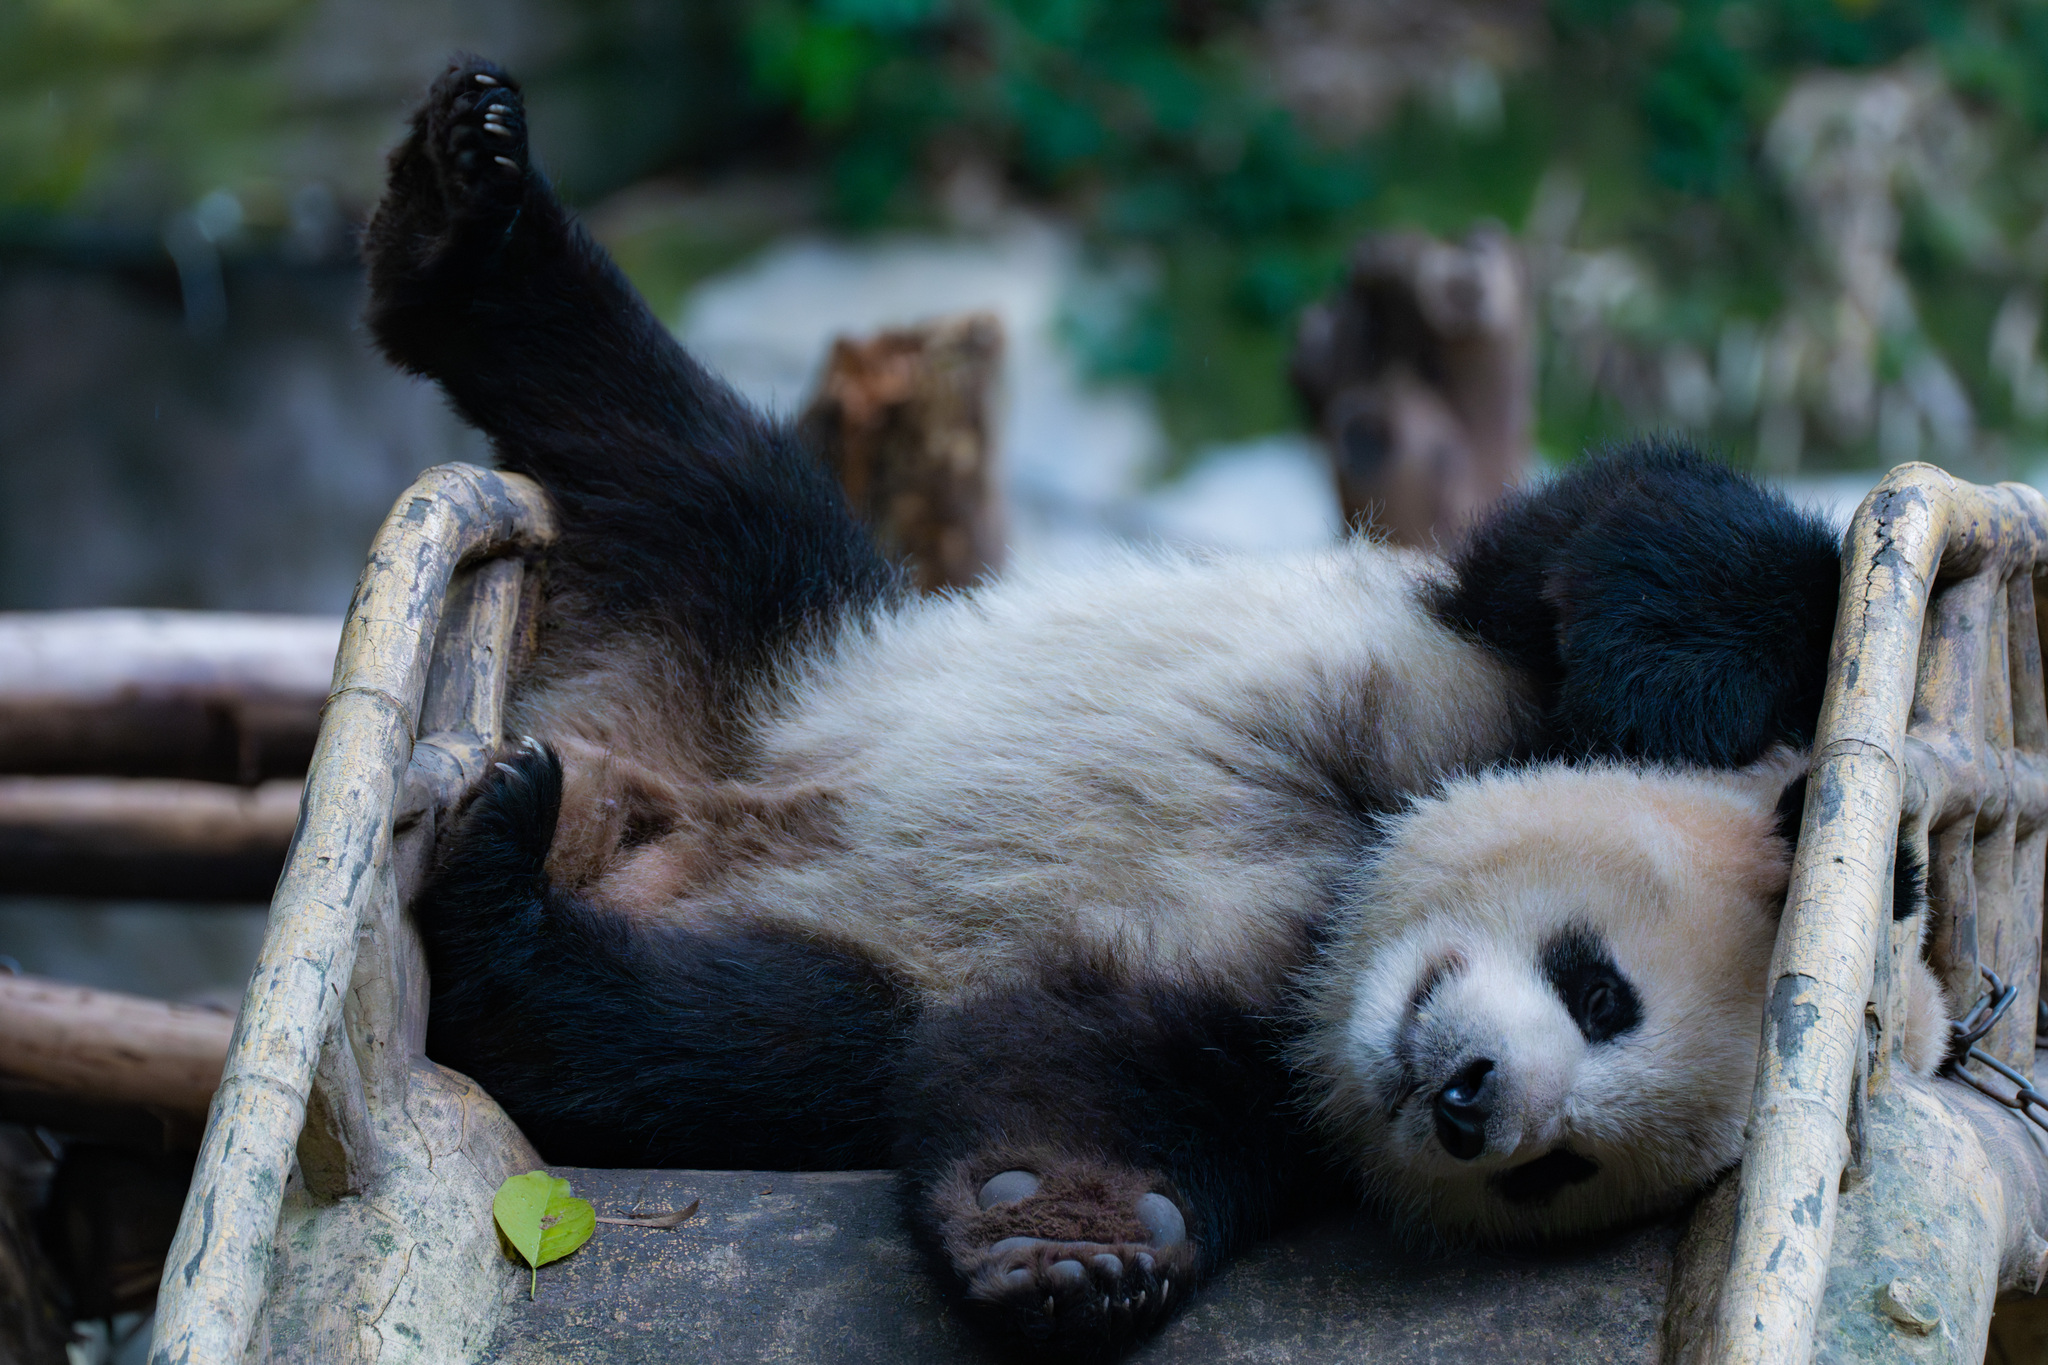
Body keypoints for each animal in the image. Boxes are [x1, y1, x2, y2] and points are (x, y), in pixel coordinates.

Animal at [368, 56, 1949, 1358]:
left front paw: (1071, 1241)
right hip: (792, 631)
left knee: (720, 1039)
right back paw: (462, 207)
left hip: (838, 942)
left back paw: (511, 911)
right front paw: (1665, 684)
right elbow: (1642, 534)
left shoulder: (1255, 1049)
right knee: (671, 451)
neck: (1346, 895)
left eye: (1556, 1170)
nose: (1472, 1101)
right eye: (1599, 988)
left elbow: (1077, 1072)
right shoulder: (1468, 639)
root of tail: (640, 771)